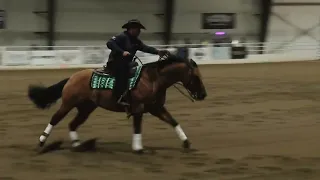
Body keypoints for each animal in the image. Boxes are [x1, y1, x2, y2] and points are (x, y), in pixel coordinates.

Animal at [27, 54, 208, 153]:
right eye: (196, 77)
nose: (203, 95)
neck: (152, 80)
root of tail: (71, 77)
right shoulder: (138, 108)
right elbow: (137, 127)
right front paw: (138, 148)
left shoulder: (156, 108)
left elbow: (173, 121)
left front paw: (186, 142)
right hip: (67, 104)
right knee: (55, 119)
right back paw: (42, 141)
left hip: (86, 108)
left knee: (72, 124)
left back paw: (78, 145)